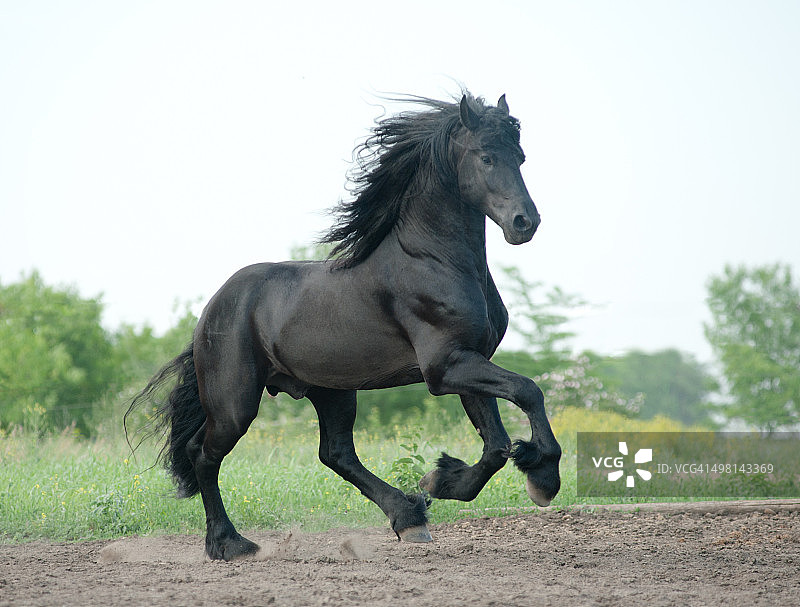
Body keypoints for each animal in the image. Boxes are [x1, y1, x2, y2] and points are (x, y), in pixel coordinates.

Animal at [126, 91, 562, 561]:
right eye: (485, 156)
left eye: (520, 157)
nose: (525, 223)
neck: (433, 261)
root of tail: (211, 309)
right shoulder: (445, 367)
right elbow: (528, 391)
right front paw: (544, 478)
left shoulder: (467, 361)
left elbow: (496, 444)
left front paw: (441, 481)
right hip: (235, 402)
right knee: (204, 454)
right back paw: (229, 544)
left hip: (331, 391)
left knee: (335, 454)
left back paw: (409, 516)